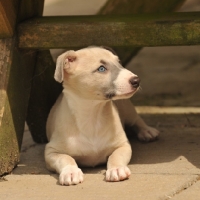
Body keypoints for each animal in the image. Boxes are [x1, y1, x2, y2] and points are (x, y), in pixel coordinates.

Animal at [44, 46, 159, 186]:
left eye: (118, 62)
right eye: (101, 69)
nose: (136, 80)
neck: (93, 114)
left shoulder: (123, 145)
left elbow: (115, 156)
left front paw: (117, 169)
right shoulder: (51, 151)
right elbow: (65, 158)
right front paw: (71, 172)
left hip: (127, 108)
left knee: (136, 120)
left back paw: (147, 131)